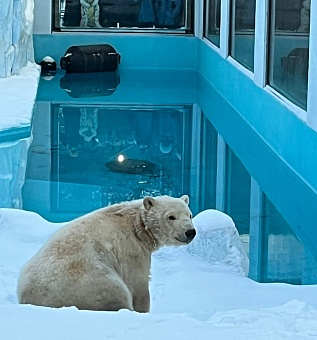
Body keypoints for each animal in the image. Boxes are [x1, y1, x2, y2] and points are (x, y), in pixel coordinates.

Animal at [17, 195, 195, 312]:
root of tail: (28, 296)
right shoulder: (131, 250)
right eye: (171, 217)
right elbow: (138, 284)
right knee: (117, 292)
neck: (138, 226)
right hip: (89, 281)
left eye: (190, 215)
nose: (190, 232)